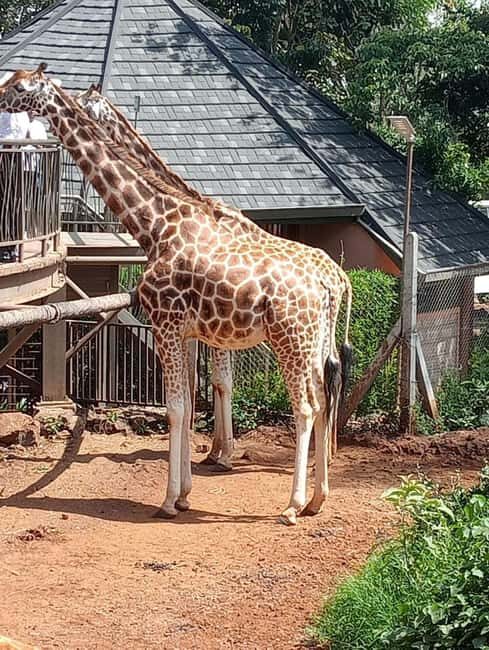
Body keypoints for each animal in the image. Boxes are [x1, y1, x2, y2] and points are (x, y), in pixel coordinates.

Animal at [76, 84, 352, 463]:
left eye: (86, 105)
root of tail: (339, 278)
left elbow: (219, 380)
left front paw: (221, 452)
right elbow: (217, 380)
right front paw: (217, 448)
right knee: (332, 374)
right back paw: (325, 454)